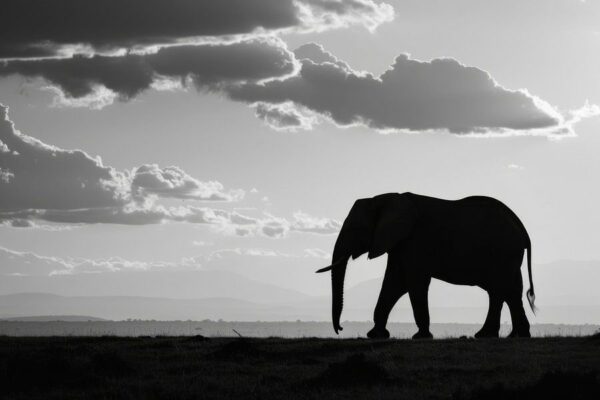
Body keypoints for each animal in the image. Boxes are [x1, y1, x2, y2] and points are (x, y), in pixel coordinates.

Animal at [316, 192, 536, 340]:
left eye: (356, 229)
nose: (340, 329)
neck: (386, 198)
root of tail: (521, 227)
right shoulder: (400, 244)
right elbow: (394, 284)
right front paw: (376, 335)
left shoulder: (415, 241)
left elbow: (413, 283)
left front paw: (421, 337)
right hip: (507, 256)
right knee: (509, 290)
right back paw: (512, 335)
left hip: (503, 253)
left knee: (500, 290)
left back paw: (491, 335)